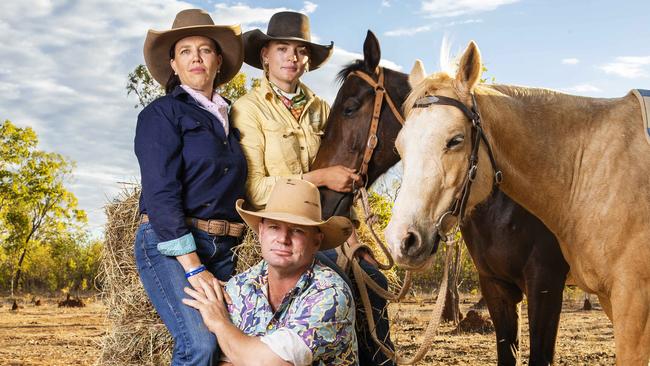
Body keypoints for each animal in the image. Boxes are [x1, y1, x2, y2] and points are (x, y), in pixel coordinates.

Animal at [384, 40, 648, 366]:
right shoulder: (497, 286)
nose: (401, 240)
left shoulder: (557, 287)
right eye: (400, 146)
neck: (587, 168)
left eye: (455, 140)